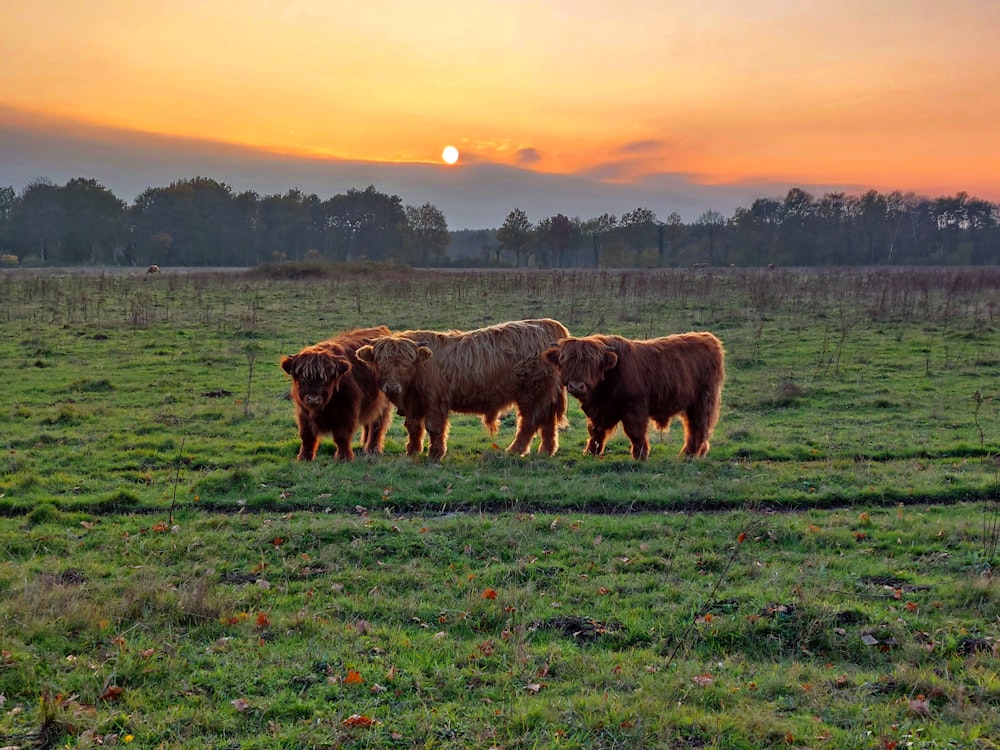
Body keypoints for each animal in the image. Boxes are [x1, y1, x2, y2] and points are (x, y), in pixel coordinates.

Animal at [282, 326, 394, 462]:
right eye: (302, 378)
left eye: (326, 379)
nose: (313, 399)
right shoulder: (304, 413)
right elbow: (307, 436)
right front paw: (304, 457)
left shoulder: (345, 412)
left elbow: (342, 435)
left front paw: (343, 457)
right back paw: (365, 444)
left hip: (382, 404)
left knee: (377, 425)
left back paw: (372, 450)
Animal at [358, 320, 572, 462]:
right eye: (381, 363)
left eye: (405, 364)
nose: (392, 387)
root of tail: (546, 324)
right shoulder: (415, 404)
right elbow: (413, 427)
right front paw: (412, 451)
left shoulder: (435, 401)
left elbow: (434, 428)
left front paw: (434, 454)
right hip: (545, 393)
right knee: (547, 422)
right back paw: (546, 451)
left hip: (531, 392)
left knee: (529, 422)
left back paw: (514, 450)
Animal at [544, 334, 724, 462]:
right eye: (566, 362)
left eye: (592, 364)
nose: (576, 386)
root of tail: (709, 338)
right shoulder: (600, 410)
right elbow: (596, 431)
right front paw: (590, 452)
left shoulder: (634, 406)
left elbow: (635, 432)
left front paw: (640, 456)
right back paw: (700, 452)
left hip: (702, 401)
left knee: (697, 427)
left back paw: (688, 454)